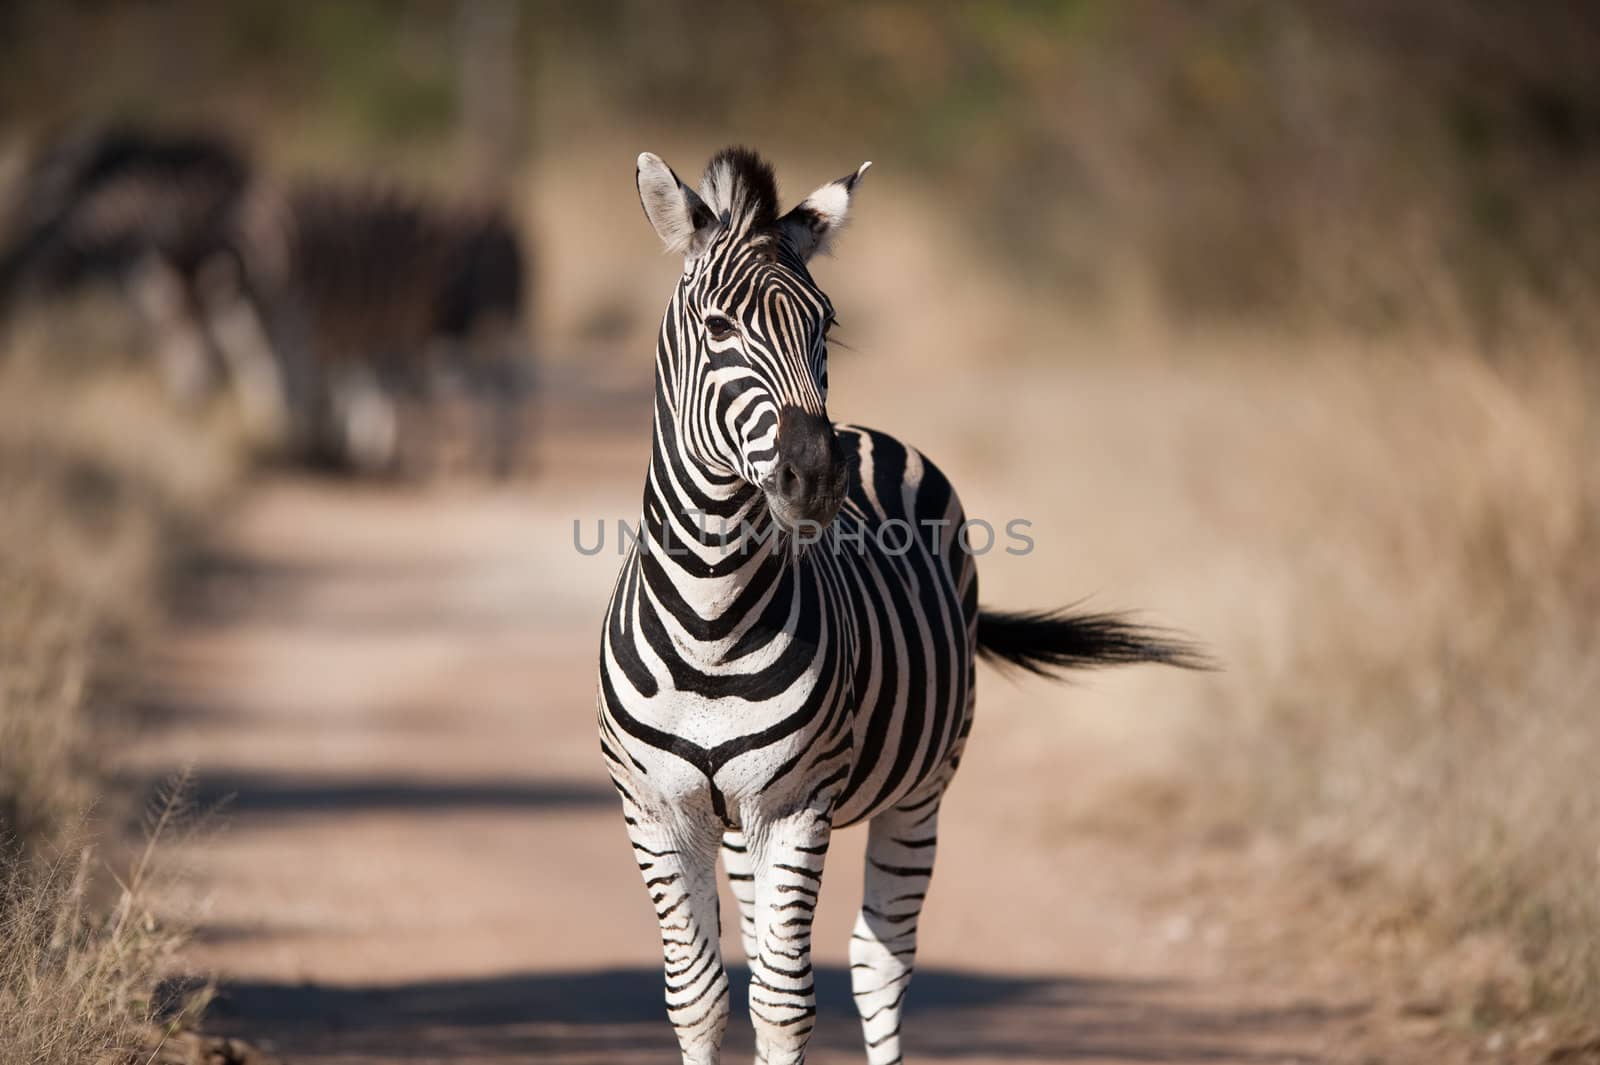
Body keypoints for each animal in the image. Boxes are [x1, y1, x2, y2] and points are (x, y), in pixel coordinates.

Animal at [0, 122, 537, 473]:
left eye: (192, 323)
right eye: (172, 325)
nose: (187, 406)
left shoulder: (291, 314)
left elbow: (288, 376)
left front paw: (294, 448)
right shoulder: (247, 316)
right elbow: (263, 373)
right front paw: (281, 441)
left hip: (435, 318)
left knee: (480, 379)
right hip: (395, 320)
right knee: (400, 376)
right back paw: (386, 449)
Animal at [598, 143, 1203, 1061]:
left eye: (825, 325)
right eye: (718, 328)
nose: (816, 478)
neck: (710, 618)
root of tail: (870, 433)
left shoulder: (798, 801)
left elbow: (785, 999)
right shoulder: (659, 808)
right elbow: (697, 996)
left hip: (923, 789)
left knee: (878, 961)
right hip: (740, 825)